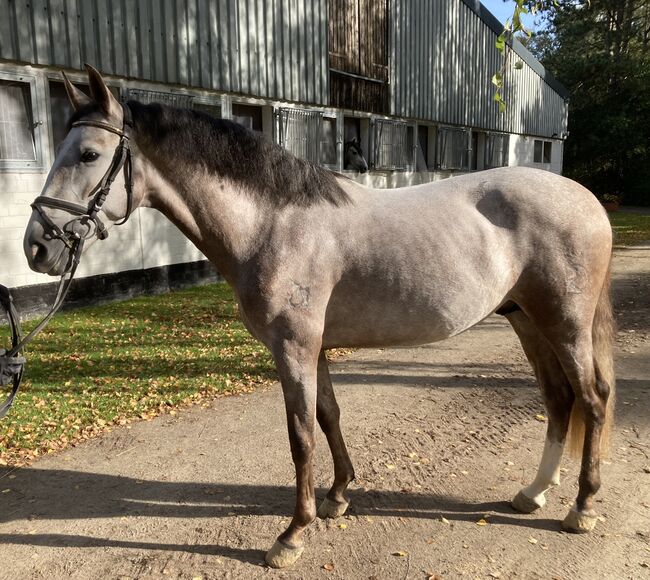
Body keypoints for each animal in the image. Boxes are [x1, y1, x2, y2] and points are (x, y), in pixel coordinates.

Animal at [22, 65, 616, 568]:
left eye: (89, 154)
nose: (36, 247)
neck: (273, 223)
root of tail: (586, 199)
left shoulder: (294, 348)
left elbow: (301, 435)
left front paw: (293, 534)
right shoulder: (317, 348)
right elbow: (329, 416)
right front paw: (337, 497)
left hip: (564, 323)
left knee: (591, 399)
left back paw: (582, 508)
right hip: (526, 320)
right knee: (559, 400)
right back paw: (533, 493)